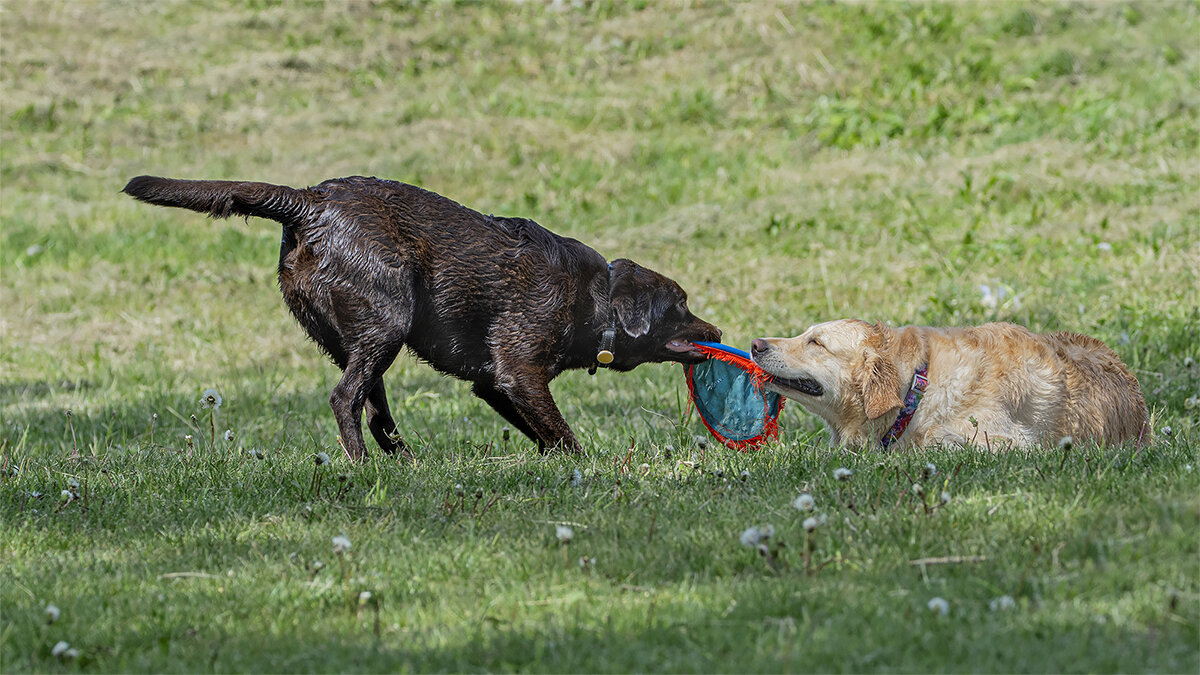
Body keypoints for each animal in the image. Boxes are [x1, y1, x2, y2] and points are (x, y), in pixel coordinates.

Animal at [124, 172, 720, 456]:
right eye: (681, 305)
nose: (717, 330)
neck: (595, 298)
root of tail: (310, 202)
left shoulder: (493, 384)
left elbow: (543, 434)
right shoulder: (519, 373)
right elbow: (563, 432)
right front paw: (587, 464)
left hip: (355, 335)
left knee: (373, 406)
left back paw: (404, 461)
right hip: (388, 322)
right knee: (346, 398)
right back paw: (363, 467)